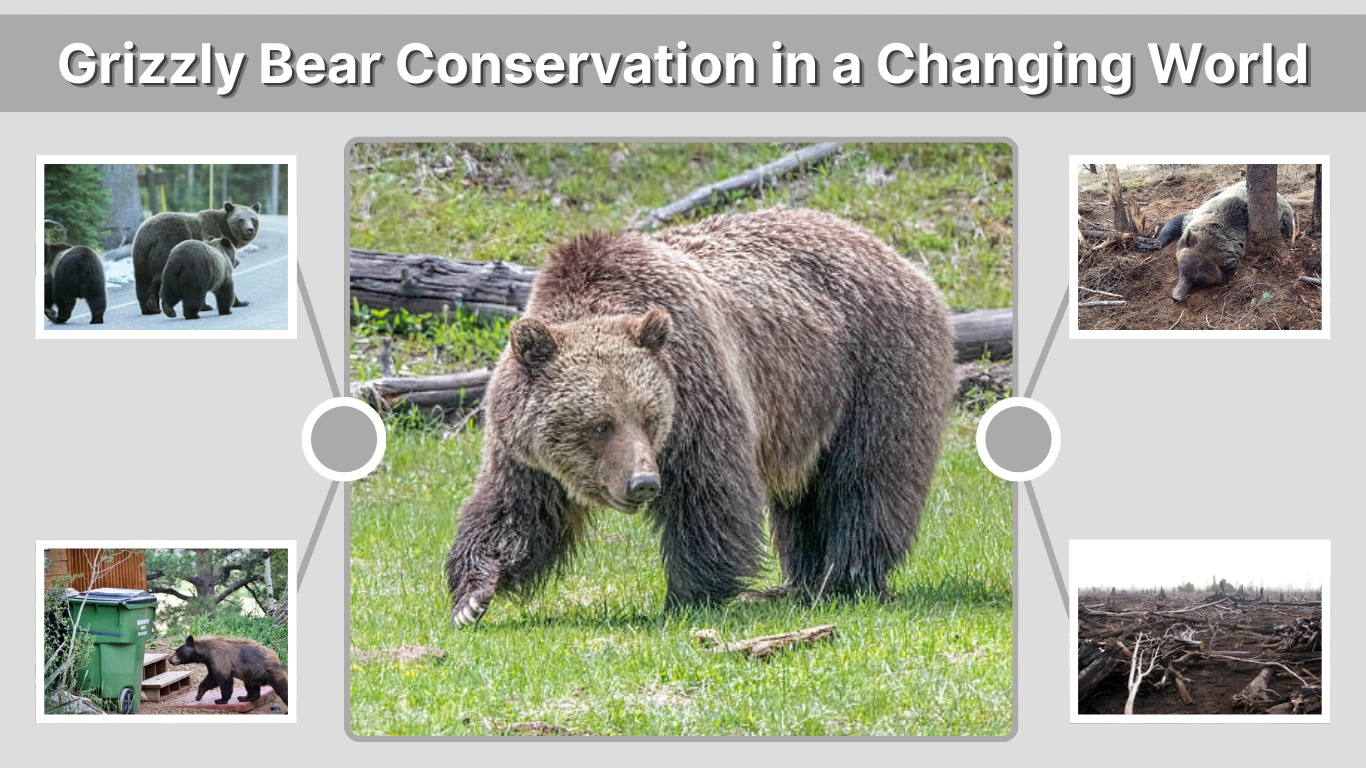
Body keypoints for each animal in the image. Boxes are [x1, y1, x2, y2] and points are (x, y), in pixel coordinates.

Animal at [132, 202, 261, 315]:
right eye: (241, 219)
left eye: (253, 219)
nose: (250, 230)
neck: (225, 229)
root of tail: (147, 236)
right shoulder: (212, 237)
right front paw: (236, 302)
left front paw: (241, 302)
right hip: (166, 246)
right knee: (158, 278)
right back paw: (154, 304)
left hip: (141, 256)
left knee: (142, 281)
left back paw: (148, 309)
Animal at [444, 207, 955, 627]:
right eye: (600, 424)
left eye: (648, 417)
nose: (642, 483)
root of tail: (900, 259)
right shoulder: (524, 448)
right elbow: (516, 509)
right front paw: (473, 596)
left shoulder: (695, 389)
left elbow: (708, 494)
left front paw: (686, 597)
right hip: (807, 406)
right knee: (802, 500)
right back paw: (799, 582)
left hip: (873, 366)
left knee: (865, 479)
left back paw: (844, 578)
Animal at [1157, 181, 1295, 302]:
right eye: (1183, 270)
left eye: (1198, 281)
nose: (1176, 297)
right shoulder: (1196, 215)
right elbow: (1178, 220)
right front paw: (1156, 242)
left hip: (1286, 220)